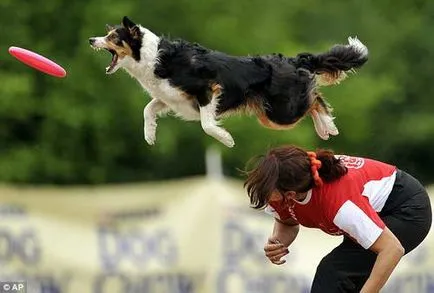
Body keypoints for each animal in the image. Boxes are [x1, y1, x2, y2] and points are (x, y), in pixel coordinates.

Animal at [90, 17, 368, 147]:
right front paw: (149, 135)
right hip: (269, 114)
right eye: (107, 34)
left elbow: (206, 125)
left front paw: (226, 139)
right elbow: (148, 109)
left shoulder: (207, 89)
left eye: (113, 37)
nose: (91, 40)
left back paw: (327, 126)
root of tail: (292, 60)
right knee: (314, 99)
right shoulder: (170, 98)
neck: (152, 57)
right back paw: (325, 127)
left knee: (314, 99)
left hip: (280, 112)